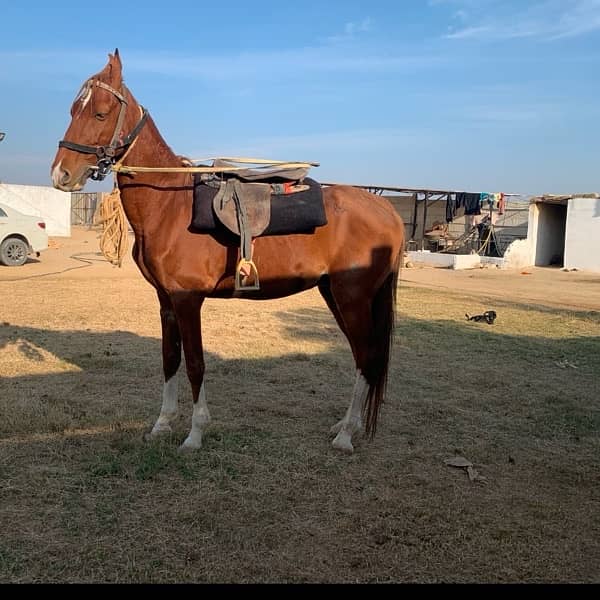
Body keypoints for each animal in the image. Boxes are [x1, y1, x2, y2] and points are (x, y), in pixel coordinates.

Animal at [51, 50, 406, 454]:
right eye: (72, 110)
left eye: (100, 113)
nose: (61, 175)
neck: (169, 205)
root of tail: (387, 208)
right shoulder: (166, 301)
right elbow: (169, 360)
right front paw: (162, 424)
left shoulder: (187, 299)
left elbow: (195, 364)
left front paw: (194, 434)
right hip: (335, 293)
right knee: (365, 355)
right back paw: (351, 425)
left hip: (352, 297)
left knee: (366, 355)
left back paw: (346, 434)